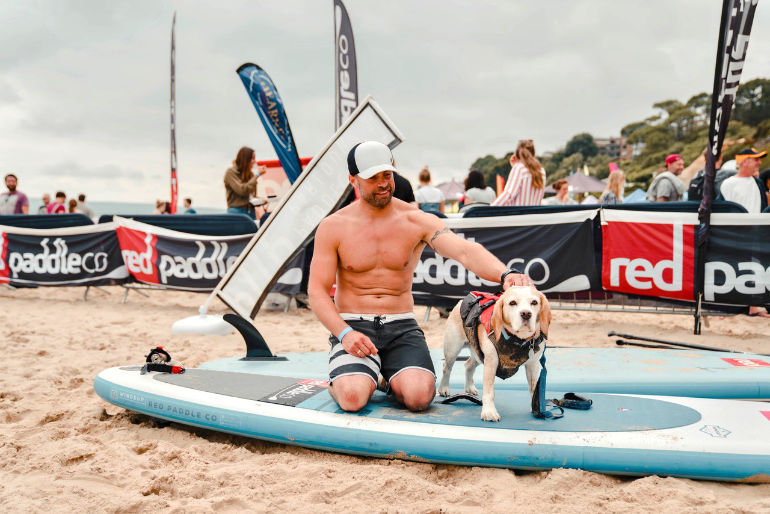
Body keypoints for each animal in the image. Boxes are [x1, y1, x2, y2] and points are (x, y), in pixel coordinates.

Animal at [436, 284, 548, 420]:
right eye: (512, 303)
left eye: (534, 302)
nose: (526, 314)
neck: (518, 340)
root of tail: (460, 302)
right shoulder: (491, 363)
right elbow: (489, 392)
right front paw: (489, 412)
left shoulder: (533, 365)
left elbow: (534, 389)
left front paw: (537, 407)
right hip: (452, 349)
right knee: (446, 368)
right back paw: (444, 388)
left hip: (478, 353)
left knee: (468, 365)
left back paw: (469, 388)